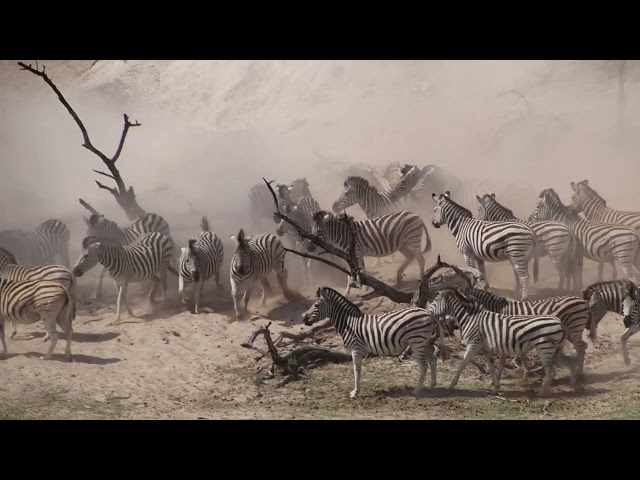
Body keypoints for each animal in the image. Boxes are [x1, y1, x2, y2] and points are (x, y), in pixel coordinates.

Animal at [300, 284, 444, 398]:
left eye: (316, 305)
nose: (304, 320)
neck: (349, 323)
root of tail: (427, 312)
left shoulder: (356, 348)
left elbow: (356, 370)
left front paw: (355, 392)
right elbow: (357, 370)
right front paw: (355, 391)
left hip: (417, 342)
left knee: (424, 365)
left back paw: (417, 390)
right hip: (425, 342)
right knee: (433, 361)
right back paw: (432, 385)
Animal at [424, 286, 576, 396]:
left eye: (435, 301)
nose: (426, 311)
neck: (470, 318)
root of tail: (559, 322)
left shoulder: (474, 344)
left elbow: (462, 363)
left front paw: (451, 385)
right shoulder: (486, 348)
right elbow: (492, 367)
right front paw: (495, 388)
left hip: (545, 348)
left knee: (551, 372)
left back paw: (542, 393)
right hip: (556, 350)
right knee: (569, 364)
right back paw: (575, 384)